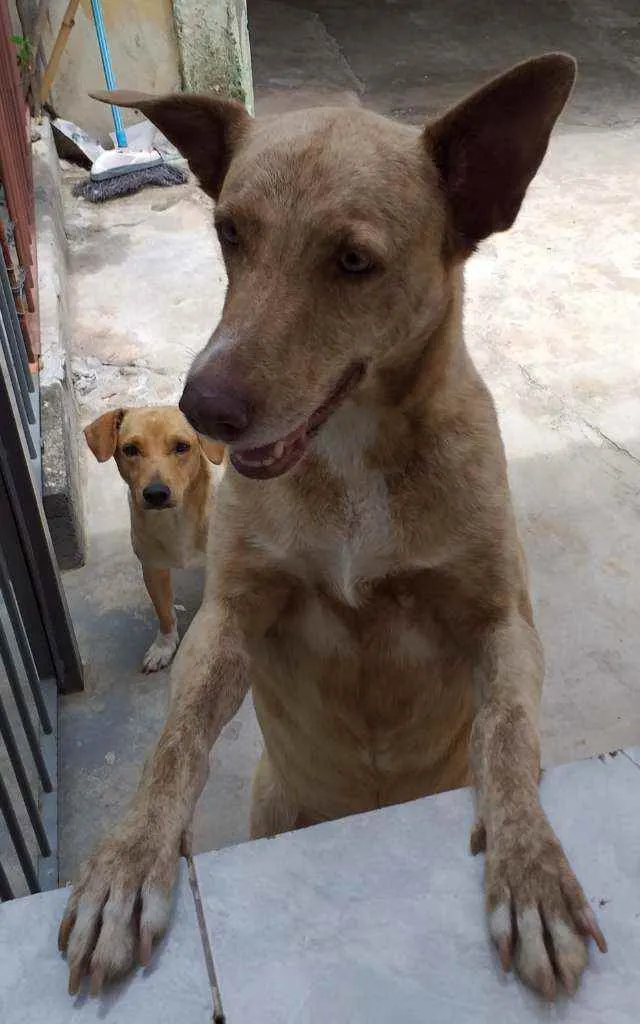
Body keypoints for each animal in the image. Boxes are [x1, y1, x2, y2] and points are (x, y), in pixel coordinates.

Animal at [83, 403, 224, 675]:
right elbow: (164, 613)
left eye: (182, 446)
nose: (156, 493)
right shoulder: (152, 568)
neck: (175, 520)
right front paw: (164, 647)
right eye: (130, 449)